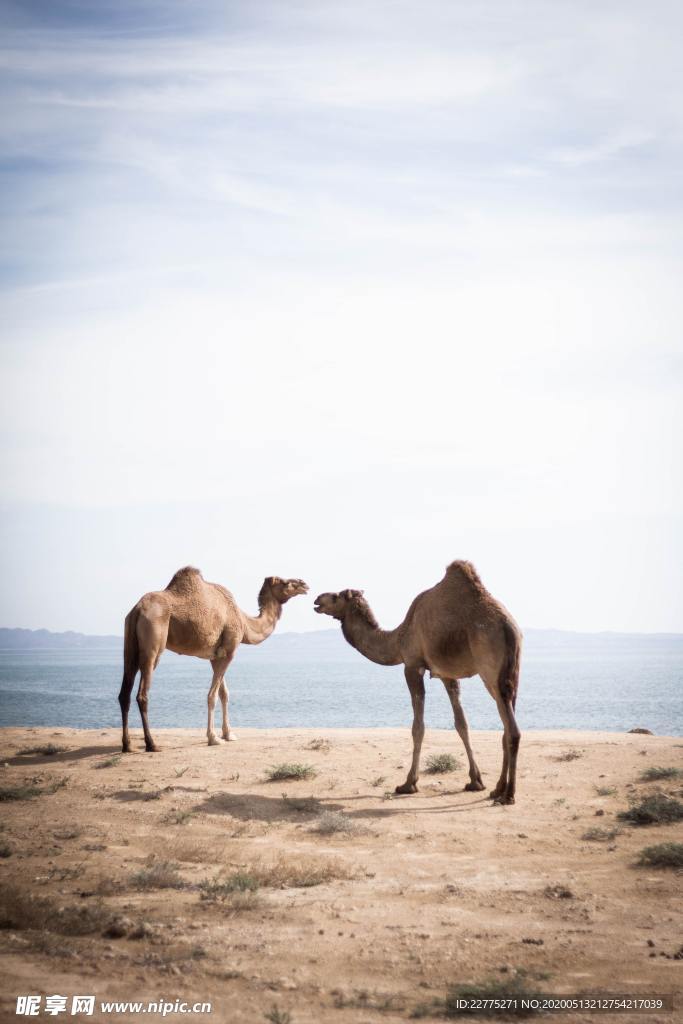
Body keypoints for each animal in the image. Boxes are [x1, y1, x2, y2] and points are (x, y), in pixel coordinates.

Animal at [119, 569, 307, 753]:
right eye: (285, 582)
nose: (304, 584)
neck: (243, 621)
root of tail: (138, 610)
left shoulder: (216, 656)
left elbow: (224, 694)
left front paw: (228, 734)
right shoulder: (229, 651)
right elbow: (212, 696)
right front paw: (213, 738)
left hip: (130, 645)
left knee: (124, 693)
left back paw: (127, 745)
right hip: (153, 644)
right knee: (142, 694)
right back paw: (152, 744)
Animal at [315, 565, 524, 802]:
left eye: (336, 596)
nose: (317, 599)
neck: (398, 638)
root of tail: (509, 629)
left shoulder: (412, 665)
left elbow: (418, 727)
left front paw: (408, 783)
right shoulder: (447, 674)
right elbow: (461, 724)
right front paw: (475, 781)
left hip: (490, 671)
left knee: (512, 730)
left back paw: (508, 795)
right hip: (512, 675)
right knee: (507, 726)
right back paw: (497, 789)